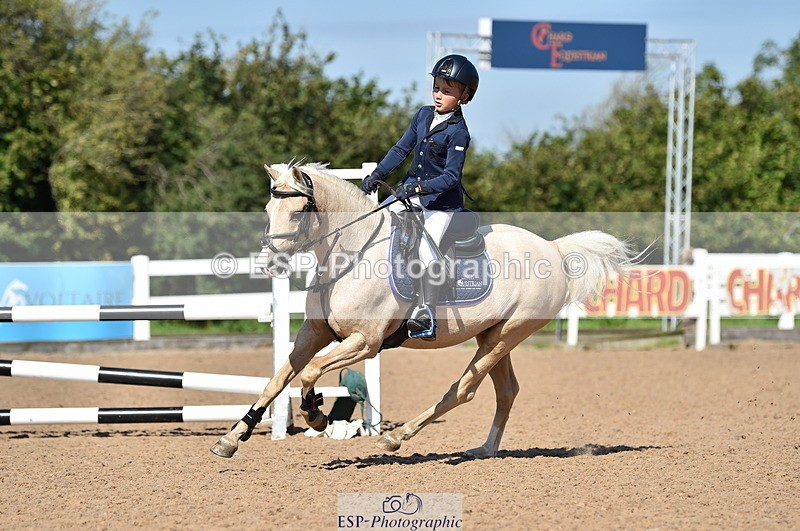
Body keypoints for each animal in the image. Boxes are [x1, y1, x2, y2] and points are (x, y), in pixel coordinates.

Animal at [210, 162, 632, 459]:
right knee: (506, 391)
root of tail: (554, 249)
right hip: (494, 335)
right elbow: (277, 379)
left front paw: (316, 415)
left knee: (463, 390)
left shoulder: (365, 342)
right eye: (268, 209)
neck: (351, 255)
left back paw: (396, 437)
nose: (269, 264)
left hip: (504, 336)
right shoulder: (315, 333)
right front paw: (232, 438)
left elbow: (311, 371)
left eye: (297, 214)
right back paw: (484, 450)